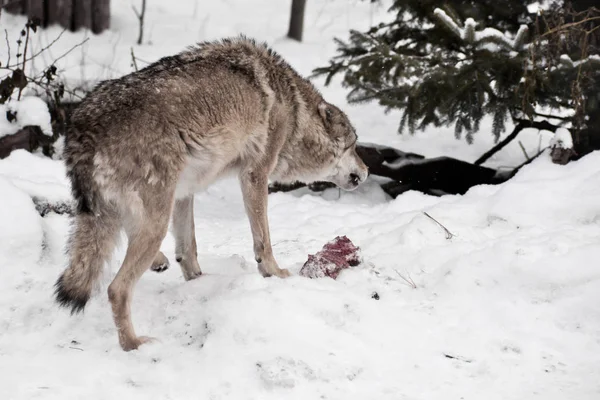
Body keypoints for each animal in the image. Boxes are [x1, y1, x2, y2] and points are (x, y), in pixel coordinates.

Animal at [54, 36, 368, 350]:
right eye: (353, 146)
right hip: (155, 221)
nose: (365, 173)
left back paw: (158, 264)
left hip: (141, 210)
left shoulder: (185, 193)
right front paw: (274, 272)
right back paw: (135, 343)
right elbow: (264, 240)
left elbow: (188, 249)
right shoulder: (255, 175)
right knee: (116, 289)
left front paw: (198, 280)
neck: (293, 107)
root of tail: (83, 125)